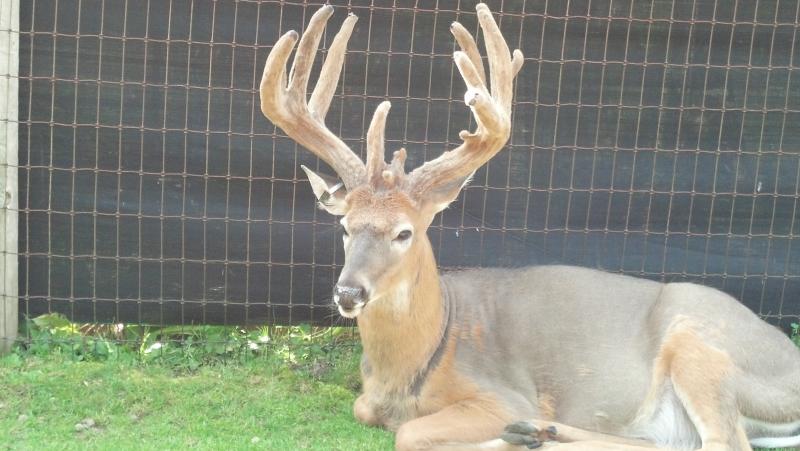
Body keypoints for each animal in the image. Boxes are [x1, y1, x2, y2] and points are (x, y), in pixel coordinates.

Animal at [258, 4, 800, 450]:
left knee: (723, 443)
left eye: (404, 233)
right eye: (345, 227)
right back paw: (540, 432)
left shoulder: (501, 392)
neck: (414, 363)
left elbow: (408, 434)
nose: (348, 293)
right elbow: (362, 408)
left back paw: (526, 434)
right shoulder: (370, 398)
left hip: (702, 347)